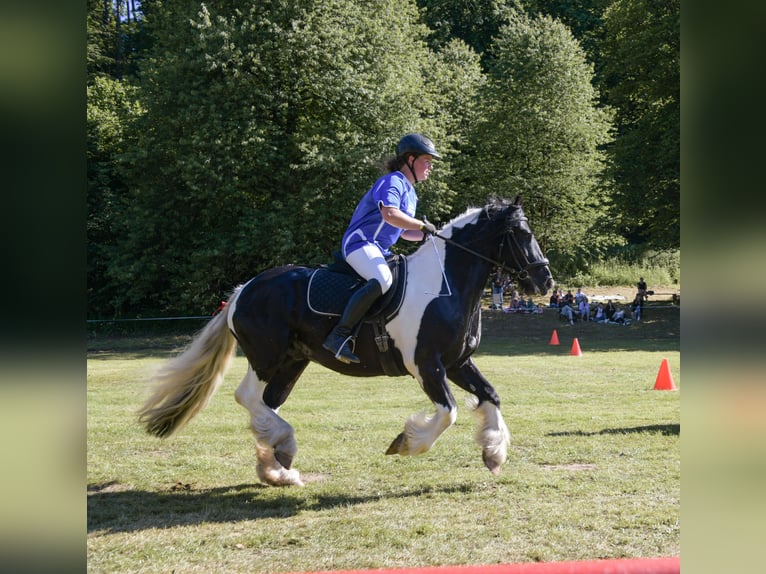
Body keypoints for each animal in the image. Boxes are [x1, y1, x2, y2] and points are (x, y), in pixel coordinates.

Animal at [138, 196, 554, 486]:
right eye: (521, 234)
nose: (545, 281)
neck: (443, 285)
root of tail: (243, 290)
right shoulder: (426, 365)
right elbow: (448, 412)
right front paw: (406, 443)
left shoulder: (457, 363)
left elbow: (490, 396)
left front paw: (494, 453)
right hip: (266, 356)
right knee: (248, 397)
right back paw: (282, 451)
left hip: (292, 361)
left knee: (267, 404)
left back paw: (278, 466)